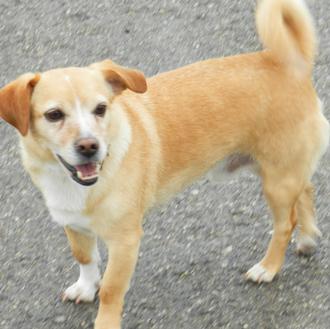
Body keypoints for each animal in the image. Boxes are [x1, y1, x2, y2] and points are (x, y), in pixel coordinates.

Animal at [0, 0, 328, 326]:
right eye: (54, 115)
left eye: (101, 108)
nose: (89, 146)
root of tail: (288, 62)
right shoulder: (73, 224)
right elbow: (85, 258)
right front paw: (85, 286)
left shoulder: (126, 241)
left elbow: (111, 290)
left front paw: (104, 317)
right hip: (282, 172)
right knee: (306, 191)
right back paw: (307, 237)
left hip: (277, 181)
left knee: (285, 223)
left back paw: (268, 267)